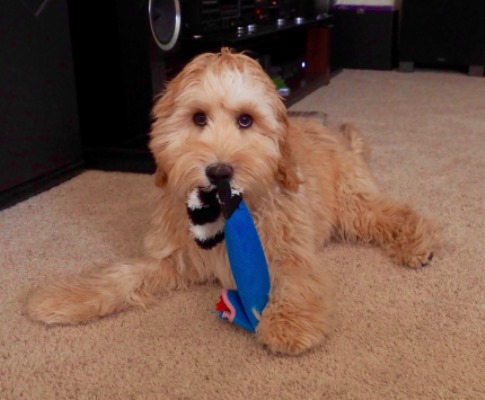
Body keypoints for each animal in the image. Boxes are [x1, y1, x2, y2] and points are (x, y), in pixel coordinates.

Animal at [24, 48, 436, 354]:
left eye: (245, 120)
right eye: (198, 118)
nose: (220, 172)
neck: (224, 213)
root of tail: (338, 137)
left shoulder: (286, 249)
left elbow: (296, 279)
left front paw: (288, 322)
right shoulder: (173, 254)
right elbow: (123, 274)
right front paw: (64, 298)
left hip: (352, 202)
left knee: (393, 213)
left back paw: (418, 243)